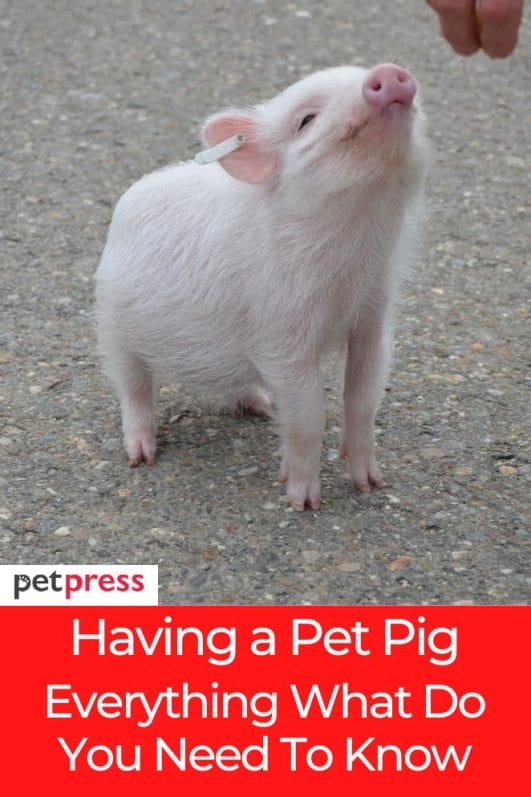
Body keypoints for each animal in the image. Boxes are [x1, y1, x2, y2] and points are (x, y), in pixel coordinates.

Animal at [95, 64, 429, 511]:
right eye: (306, 120)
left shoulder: (373, 314)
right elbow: (308, 414)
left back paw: (263, 405)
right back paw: (141, 456)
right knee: (132, 387)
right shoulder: (281, 334)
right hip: (111, 322)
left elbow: (363, 397)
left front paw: (371, 485)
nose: (388, 73)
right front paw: (304, 502)